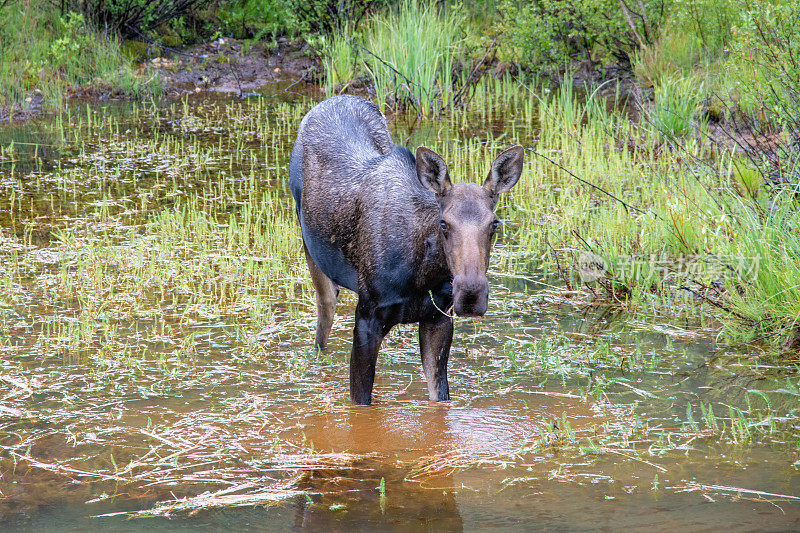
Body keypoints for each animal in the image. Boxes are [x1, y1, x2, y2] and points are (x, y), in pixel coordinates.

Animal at [290, 95, 524, 404]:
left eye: (494, 223)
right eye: (444, 223)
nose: (471, 293)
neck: (423, 273)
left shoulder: (438, 317)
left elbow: (440, 397)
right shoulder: (367, 316)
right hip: (311, 248)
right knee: (323, 317)